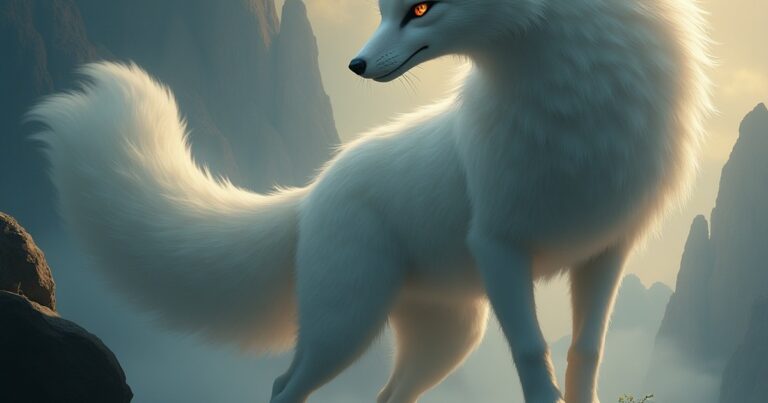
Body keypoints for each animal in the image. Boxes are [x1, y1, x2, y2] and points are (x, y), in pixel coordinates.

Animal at [29, 0, 711, 402]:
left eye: (420, 7)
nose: (355, 64)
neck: (575, 110)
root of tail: (311, 191)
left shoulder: (607, 253)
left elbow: (584, 356)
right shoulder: (498, 247)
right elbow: (532, 355)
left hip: (447, 339)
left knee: (384, 397)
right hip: (346, 325)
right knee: (283, 384)